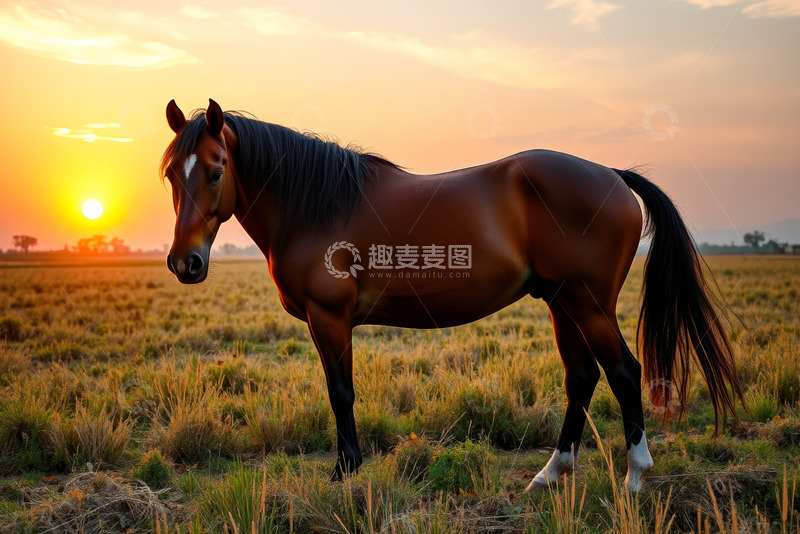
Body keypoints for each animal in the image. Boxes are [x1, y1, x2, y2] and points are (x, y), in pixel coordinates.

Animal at [161, 99, 742, 492]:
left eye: (216, 170)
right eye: (169, 173)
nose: (185, 263)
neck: (315, 205)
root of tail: (614, 177)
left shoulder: (329, 318)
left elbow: (340, 393)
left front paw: (346, 471)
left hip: (588, 303)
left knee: (624, 372)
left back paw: (635, 477)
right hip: (562, 302)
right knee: (581, 378)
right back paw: (551, 474)